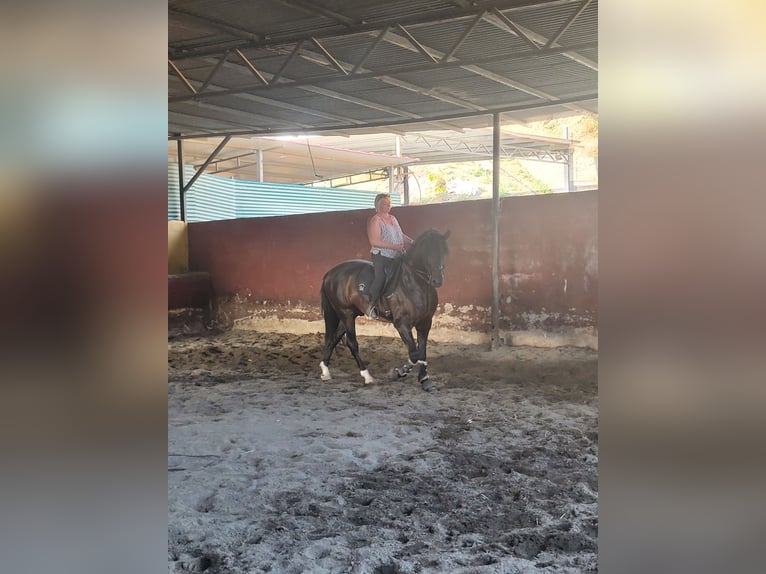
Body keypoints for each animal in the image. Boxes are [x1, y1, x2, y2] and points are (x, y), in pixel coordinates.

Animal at [318, 230, 450, 392]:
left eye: (443, 251)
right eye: (426, 252)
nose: (437, 280)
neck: (414, 283)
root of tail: (330, 273)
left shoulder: (425, 323)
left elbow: (422, 352)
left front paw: (425, 380)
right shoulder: (401, 324)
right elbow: (414, 354)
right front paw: (398, 372)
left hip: (347, 315)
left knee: (333, 338)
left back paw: (325, 371)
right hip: (346, 313)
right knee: (351, 343)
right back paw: (367, 376)